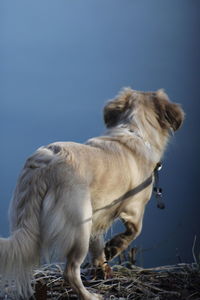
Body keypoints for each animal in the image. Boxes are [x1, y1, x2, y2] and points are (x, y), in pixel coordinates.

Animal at [0, 88, 184, 298]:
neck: (134, 130)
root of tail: (45, 166)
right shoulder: (135, 208)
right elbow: (134, 231)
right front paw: (114, 247)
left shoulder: (98, 214)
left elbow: (97, 248)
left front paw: (103, 267)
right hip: (80, 227)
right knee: (70, 271)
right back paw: (90, 296)